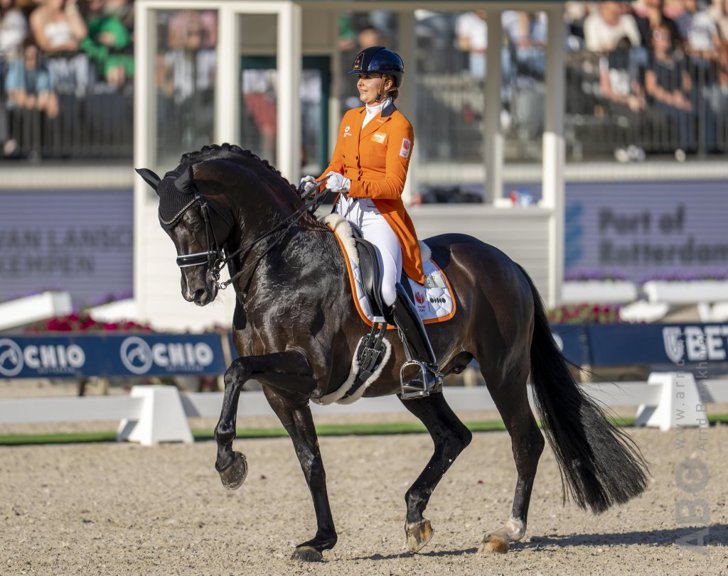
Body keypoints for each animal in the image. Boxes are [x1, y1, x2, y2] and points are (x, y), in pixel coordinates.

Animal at [136, 144, 648, 564]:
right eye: (165, 228)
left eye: (193, 219)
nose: (196, 292)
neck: (282, 265)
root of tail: (506, 262)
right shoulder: (283, 392)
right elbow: (311, 461)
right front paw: (320, 540)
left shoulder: (310, 370)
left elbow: (234, 371)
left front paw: (228, 463)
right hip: (417, 386)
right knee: (453, 437)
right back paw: (415, 516)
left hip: (503, 372)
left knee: (525, 441)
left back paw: (507, 532)